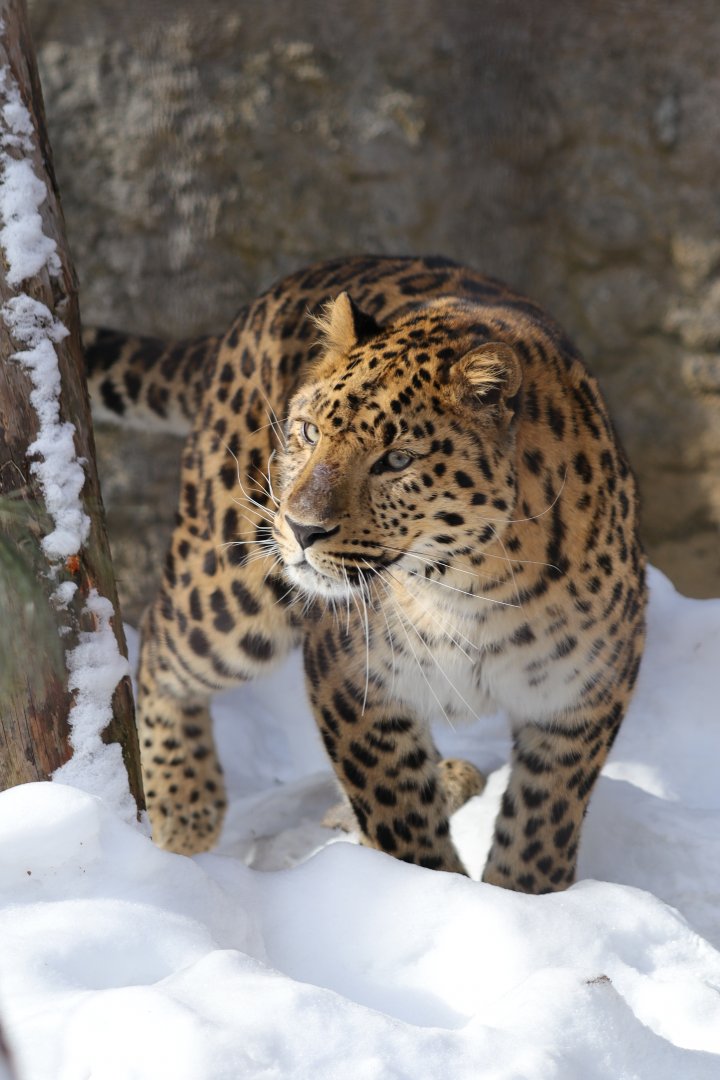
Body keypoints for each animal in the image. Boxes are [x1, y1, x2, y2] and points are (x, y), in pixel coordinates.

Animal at [85, 254, 647, 892]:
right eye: (309, 432)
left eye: (396, 460)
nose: (301, 528)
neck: (473, 588)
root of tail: (267, 299)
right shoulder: (350, 677)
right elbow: (399, 816)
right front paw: (434, 888)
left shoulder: (582, 698)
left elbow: (542, 828)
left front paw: (522, 898)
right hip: (233, 585)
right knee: (159, 642)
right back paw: (183, 812)